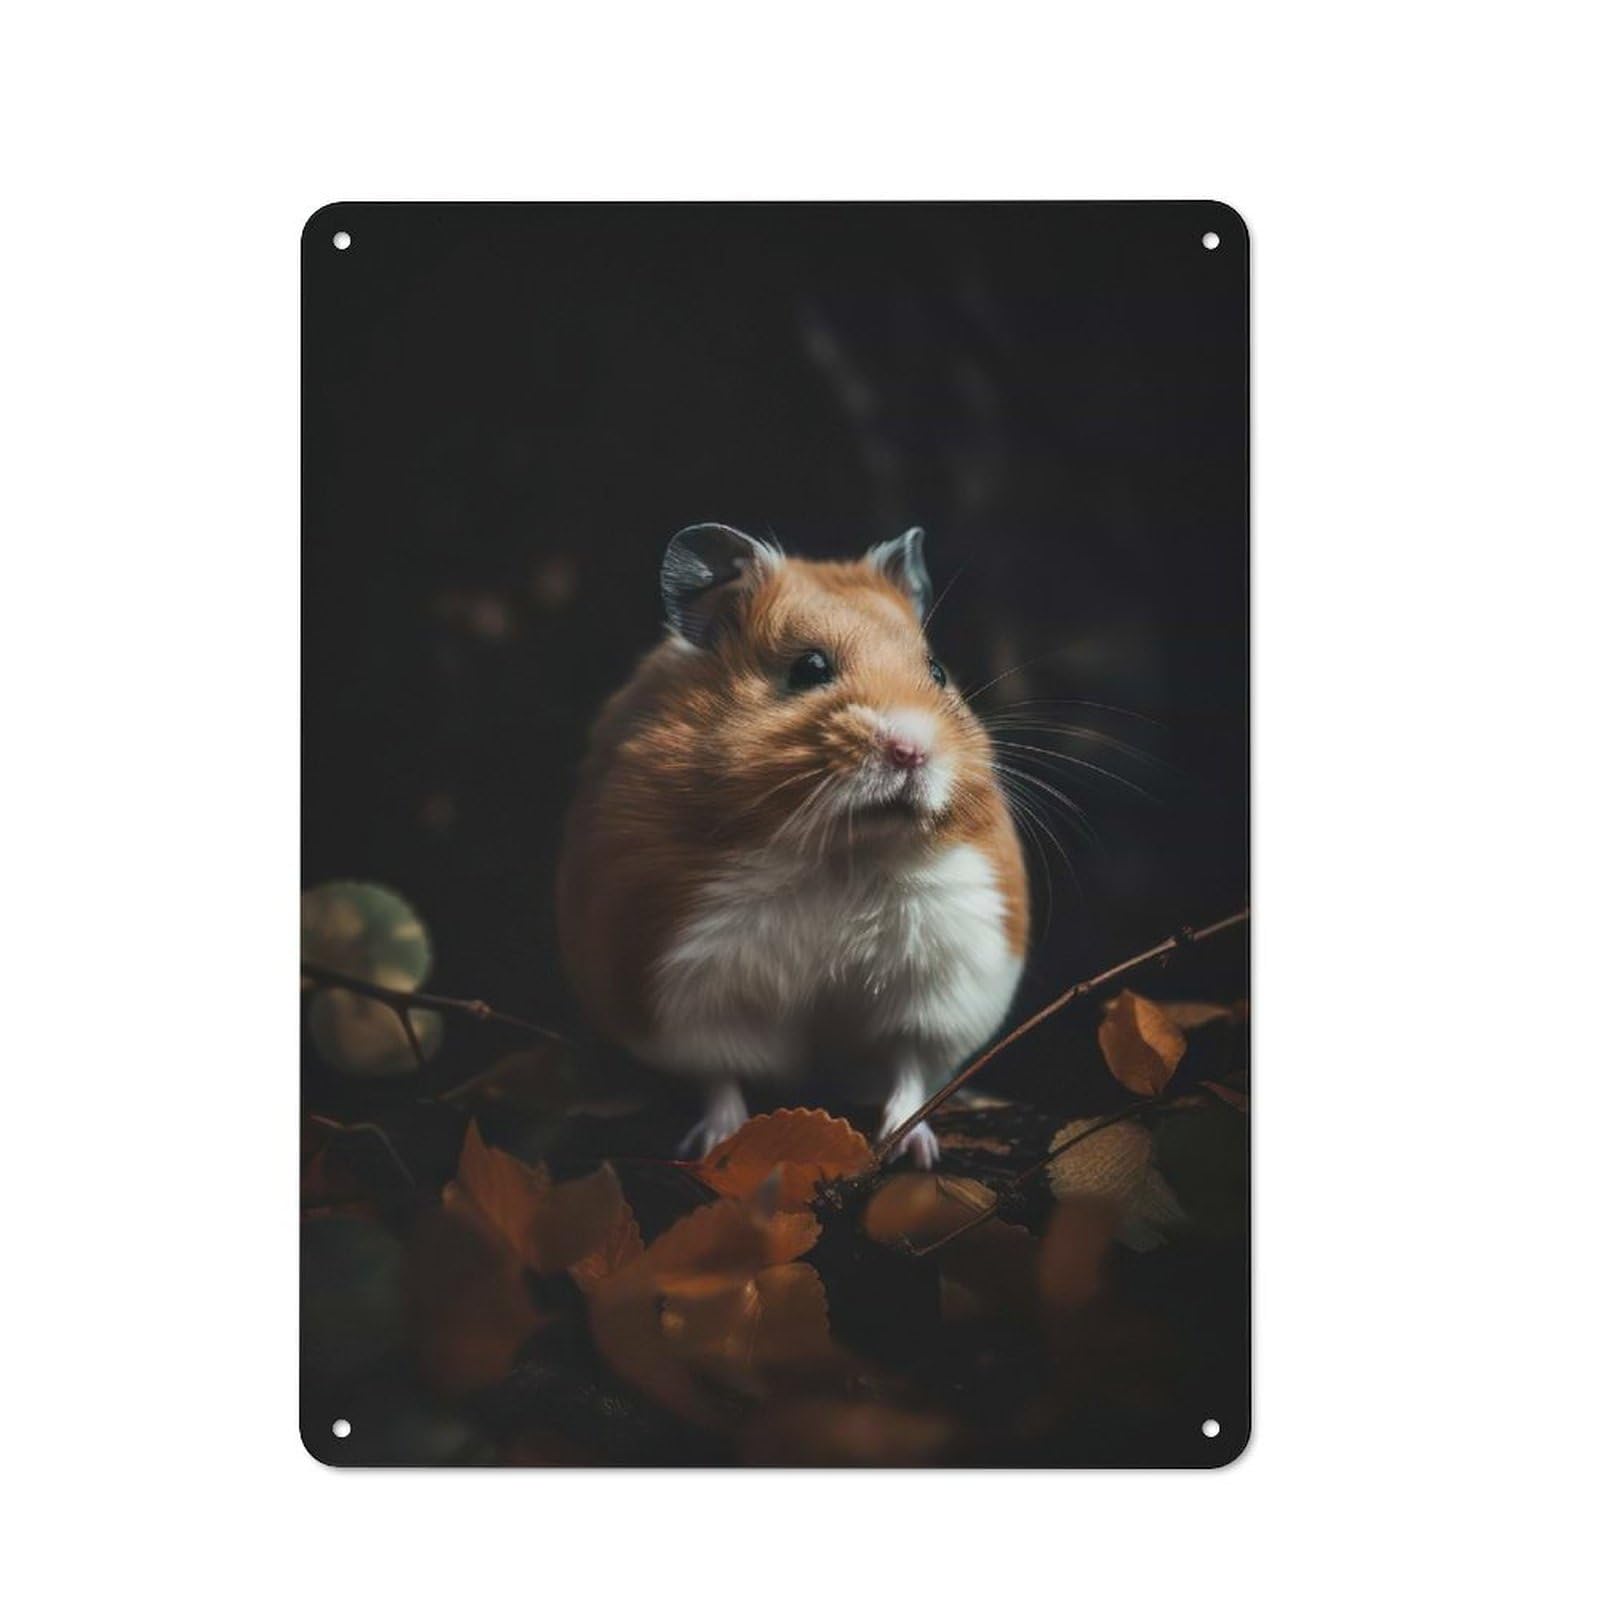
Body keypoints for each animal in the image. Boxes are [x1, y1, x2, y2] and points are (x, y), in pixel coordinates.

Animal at [556, 524, 1028, 1167]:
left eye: (936, 671)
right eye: (809, 668)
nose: (912, 750)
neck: (841, 852)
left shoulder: (942, 977)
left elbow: (907, 1067)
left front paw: (912, 1149)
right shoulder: (683, 984)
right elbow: (719, 1074)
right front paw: (721, 1143)